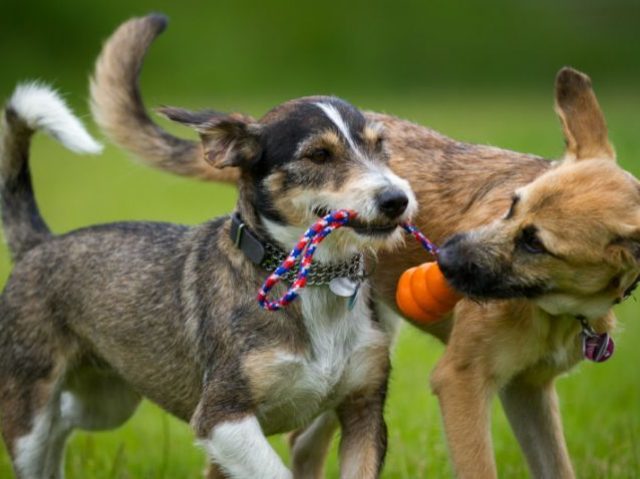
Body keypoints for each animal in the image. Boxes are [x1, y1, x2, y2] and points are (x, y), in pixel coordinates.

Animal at [0, 61, 420, 479]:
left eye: (380, 147)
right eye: (318, 155)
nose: (397, 199)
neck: (313, 283)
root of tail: (40, 244)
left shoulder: (364, 410)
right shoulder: (221, 418)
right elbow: (274, 471)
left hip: (107, 399)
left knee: (64, 420)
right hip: (31, 410)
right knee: (43, 433)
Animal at [91, 13, 640, 478]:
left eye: (535, 244)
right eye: (511, 205)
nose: (443, 257)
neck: (558, 308)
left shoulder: (529, 391)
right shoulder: (461, 380)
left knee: (303, 443)